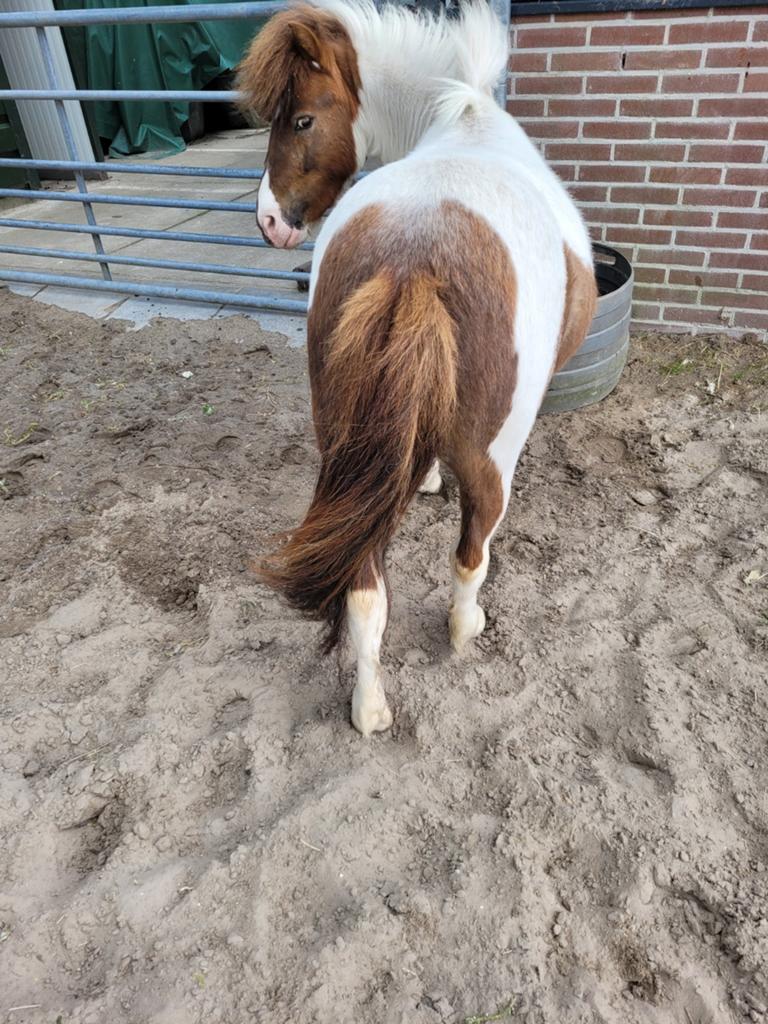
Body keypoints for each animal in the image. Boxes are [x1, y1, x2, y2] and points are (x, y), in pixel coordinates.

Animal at [238, 0, 597, 736]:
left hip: (345, 449)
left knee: (365, 589)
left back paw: (370, 708)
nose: (269, 221)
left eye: (301, 119)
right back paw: (465, 629)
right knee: (471, 552)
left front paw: (426, 475)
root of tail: (414, 257)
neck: (464, 117)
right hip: (493, 460)